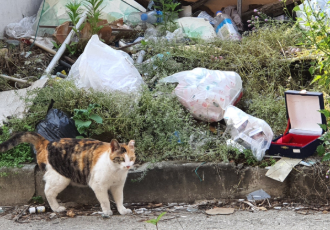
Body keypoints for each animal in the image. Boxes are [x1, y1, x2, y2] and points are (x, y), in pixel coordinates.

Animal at [0, 132, 135, 217]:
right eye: (121, 158)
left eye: (132, 158)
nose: (128, 166)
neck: (116, 171)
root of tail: (47, 143)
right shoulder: (98, 186)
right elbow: (105, 201)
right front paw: (107, 212)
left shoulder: (118, 186)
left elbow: (119, 199)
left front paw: (122, 210)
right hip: (60, 178)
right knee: (48, 191)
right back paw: (56, 208)